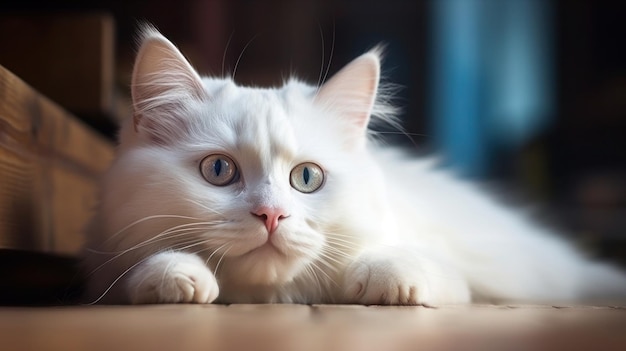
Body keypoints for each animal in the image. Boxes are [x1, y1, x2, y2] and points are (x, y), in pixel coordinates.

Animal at [81, 26, 624, 306]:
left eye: (306, 178)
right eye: (219, 171)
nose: (272, 216)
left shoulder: (446, 270)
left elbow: (400, 262)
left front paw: (385, 281)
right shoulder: (104, 263)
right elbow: (142, 269)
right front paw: (175, 278)